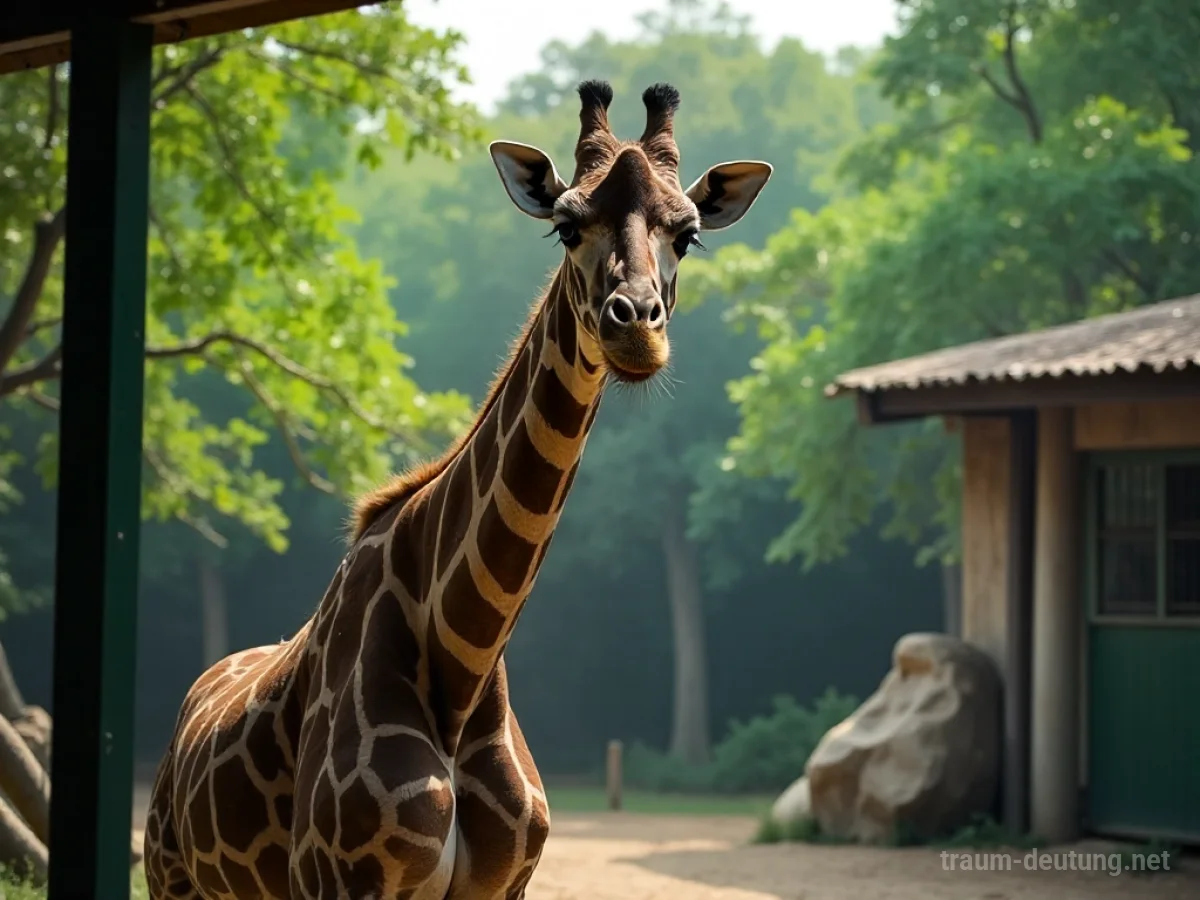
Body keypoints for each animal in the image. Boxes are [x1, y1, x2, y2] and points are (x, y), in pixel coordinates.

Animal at [142, 79, 771, 900]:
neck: (464, 661)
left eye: (688, 234)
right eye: (566, 226)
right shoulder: (341, 880)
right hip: (170, 876)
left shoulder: (504, 885)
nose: (636, 327)